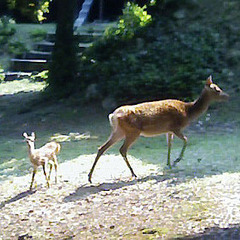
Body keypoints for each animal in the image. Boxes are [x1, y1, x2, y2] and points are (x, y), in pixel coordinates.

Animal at [88, 76, 229, 183]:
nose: (227, 96)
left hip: (118, 132)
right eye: (217, 90)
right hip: (132, 131)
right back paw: (133, 173)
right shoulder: (175, 127)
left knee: (101, 148)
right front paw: (176, 160)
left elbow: (169, 145)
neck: (188, 112)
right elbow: (186, 140)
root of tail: (113, 116)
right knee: (122, 149)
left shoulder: (168, 130)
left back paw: (90, 177)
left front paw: (169, 164)